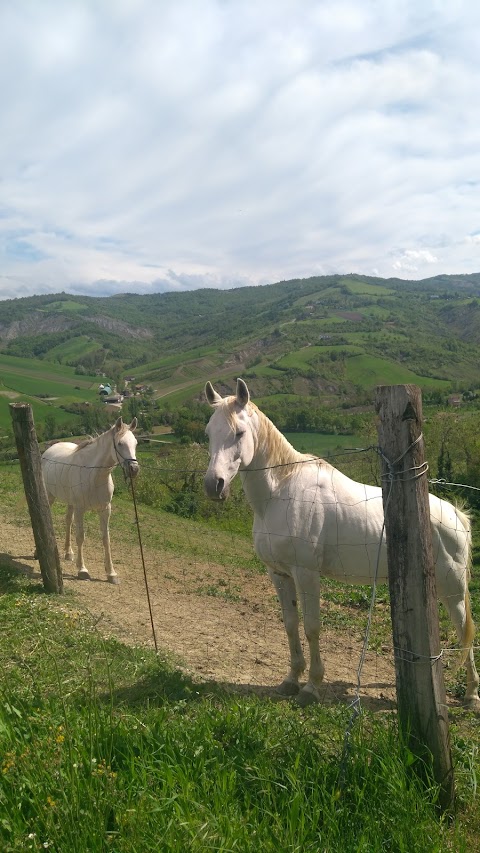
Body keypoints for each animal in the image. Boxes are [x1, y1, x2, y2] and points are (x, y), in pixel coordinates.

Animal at [41, 416, 139, 584]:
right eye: (120, 443)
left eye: (136, 443)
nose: (134, 469)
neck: (94, 475)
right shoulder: (80, 509)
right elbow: (80, 537)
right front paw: (82, 570)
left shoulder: (105, 510)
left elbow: (106, 539)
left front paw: (111, 573)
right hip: (50, 496)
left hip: (71, 503)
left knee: (68, 521)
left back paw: (68, 553)